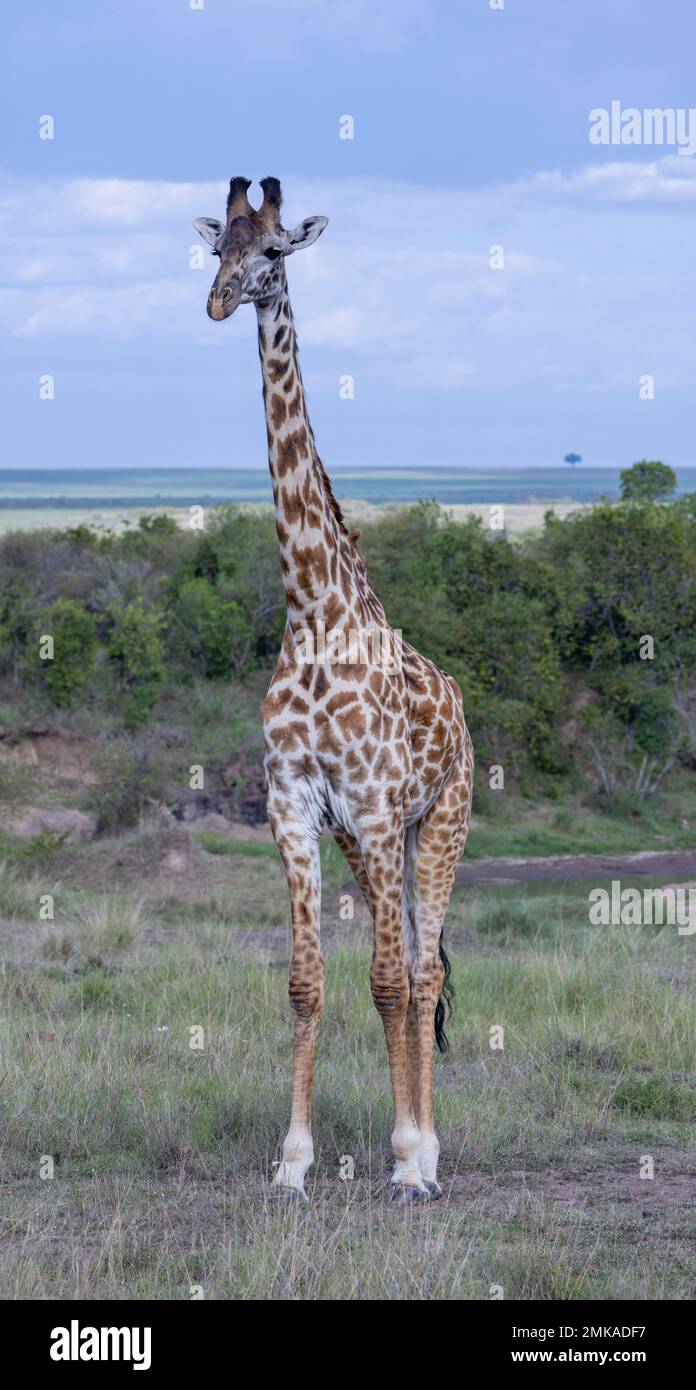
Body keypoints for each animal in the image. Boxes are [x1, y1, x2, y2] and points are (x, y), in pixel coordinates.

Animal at [193, 177, 474, 1203]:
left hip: (439, 822)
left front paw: (402, 1160)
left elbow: (391, 983)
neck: (313, 609)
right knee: (412, 967)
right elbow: (308, 984)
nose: (220, 302)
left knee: (422, 972)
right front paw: (292, 1165)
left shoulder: (379, 805)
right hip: (369, 840)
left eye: (275, 251)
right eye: (217, 248)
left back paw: (427, 1155)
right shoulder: (295, 806)